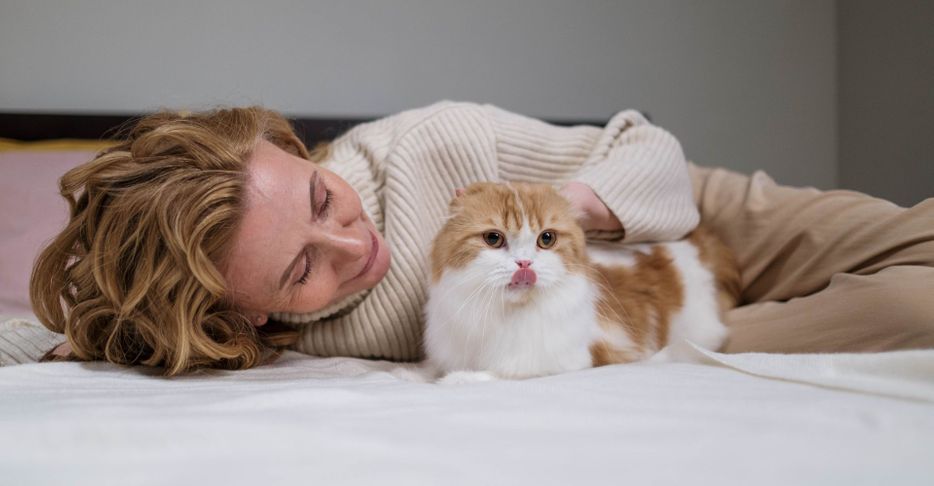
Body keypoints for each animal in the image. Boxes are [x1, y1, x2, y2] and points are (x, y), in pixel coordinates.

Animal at [422, 180, 740, 382]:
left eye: (546, 239)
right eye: (493, 238)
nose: (525, 263)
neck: (506, 314)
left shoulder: (569, 360)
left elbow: (492, 374)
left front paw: (458, 379)